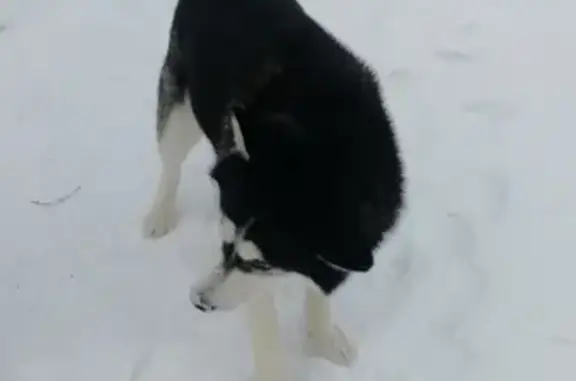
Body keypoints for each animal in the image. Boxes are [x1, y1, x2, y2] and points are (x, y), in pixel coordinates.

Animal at [143, 0, 404, 378]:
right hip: (180, 107)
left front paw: (322, 338)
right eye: (224, 244)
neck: (322, 153)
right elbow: (264, 318)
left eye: (262, 264)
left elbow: (320, 284)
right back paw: (159, 215)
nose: (199, 302)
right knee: (171, 162)